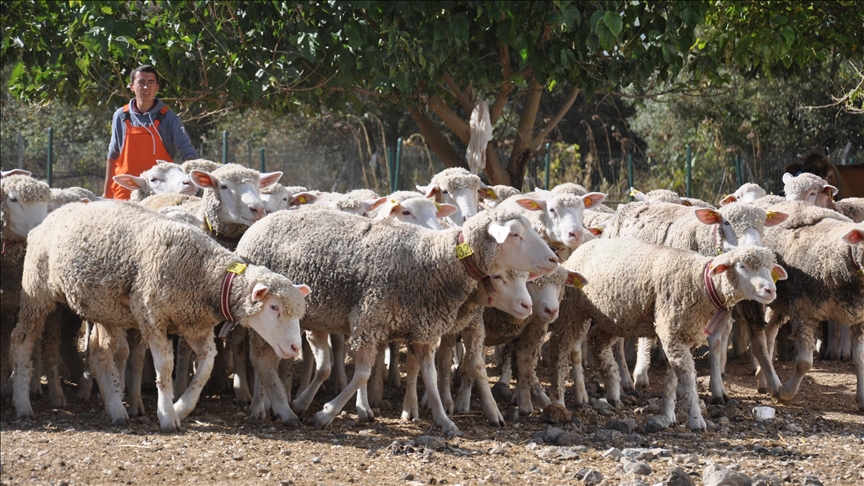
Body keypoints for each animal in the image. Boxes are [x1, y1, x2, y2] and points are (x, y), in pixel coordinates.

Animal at [9, 200, 310, 430]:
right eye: (274, 308)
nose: (295, 347)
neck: (207, 276)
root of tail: (50, 216)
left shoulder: (195, 325)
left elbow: (206, 366)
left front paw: (181, 406)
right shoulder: (151, 317)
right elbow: (165, 367)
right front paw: (167, 416)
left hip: (105, 310)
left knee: (100, 354)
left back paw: (116, 409)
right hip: (37, 291)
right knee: (22, 341)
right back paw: (23, 404)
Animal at [236, 203, 560, 434]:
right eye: (515, 234)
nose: (554, 259)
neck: (435, 260)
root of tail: (259, 223)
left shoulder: (424, 330)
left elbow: (429, 376)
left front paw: (444, 420)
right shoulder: (369, 320)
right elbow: (363, 374)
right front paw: (326, 413)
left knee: (296, 361)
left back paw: (289, 404)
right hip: (265, 317)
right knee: (262, 360)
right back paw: (269, 408)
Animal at [564, 239, 788, 430]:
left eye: (770, 269)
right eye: (741, 266)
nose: (771, 290)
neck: (700, 283)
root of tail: (588, 243)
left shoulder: (682, 334)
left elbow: (672, 377)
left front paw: (668, 413)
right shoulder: (672, 332)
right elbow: (687, 378)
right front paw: (696, 420)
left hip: (616, 319)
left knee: (597, 343)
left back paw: (613, 393)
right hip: (576, 311)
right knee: (574, 351)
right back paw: (581, 395)